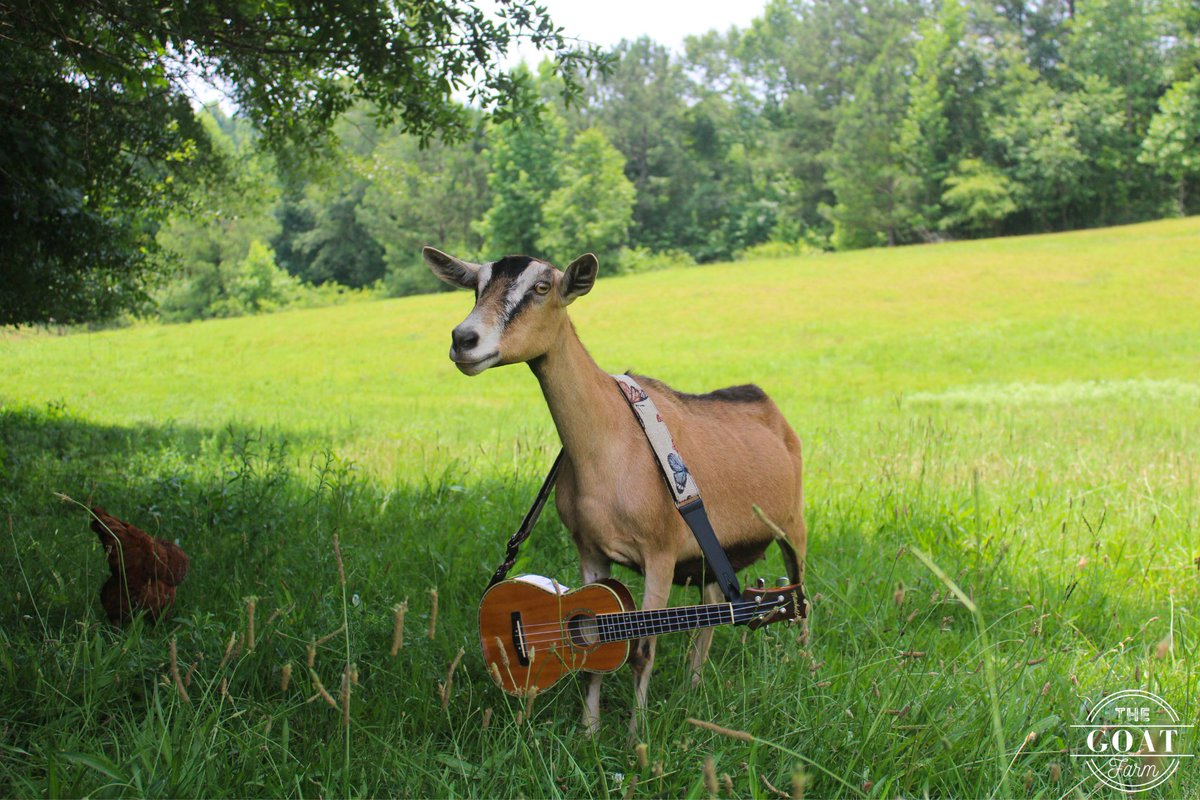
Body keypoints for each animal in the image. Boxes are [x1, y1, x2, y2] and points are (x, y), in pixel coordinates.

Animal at [424, 247, 807, 734]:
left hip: (794, 524)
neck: (611, 443)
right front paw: (589, 732)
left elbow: (642, 651)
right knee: (712, 609)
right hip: (711, 556)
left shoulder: (661, 552)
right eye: (476, 286)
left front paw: (635, 738)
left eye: (542, 287)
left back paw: (808, 667)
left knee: (801, 592)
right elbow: (593, 656)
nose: (464, 339)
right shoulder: (590, 550)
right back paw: (693, 687)